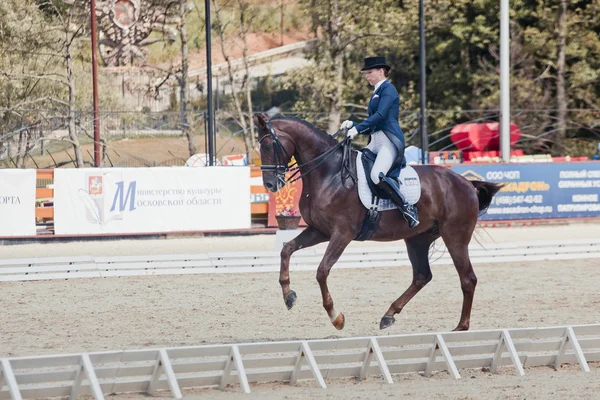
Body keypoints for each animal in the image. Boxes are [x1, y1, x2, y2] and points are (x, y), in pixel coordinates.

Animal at [255, 113, 504, 332]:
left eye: (267, 146)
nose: (270, 184)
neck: (329, 174)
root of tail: (466, 183)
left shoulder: (342, 233)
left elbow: (322, 271)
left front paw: (336, 317)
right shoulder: (319, 230)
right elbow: (287, 249)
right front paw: (289, 296)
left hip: (455, 237)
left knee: (467, 279)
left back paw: (461, 327)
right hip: (418, 239)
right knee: (422, 276)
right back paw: (389, 315)